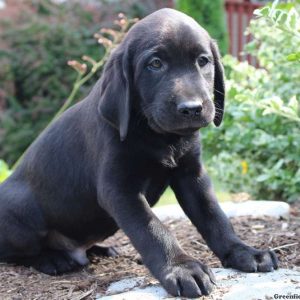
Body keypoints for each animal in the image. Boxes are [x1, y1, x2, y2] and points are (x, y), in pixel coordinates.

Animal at [0, 8, 278, 298]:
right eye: (155, 64)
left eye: (203, 61)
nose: (191, 108)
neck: (159, 136)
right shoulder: (119, 190)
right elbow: (152, 229)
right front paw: (182, 268)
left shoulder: (192, 177)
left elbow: (215, 217)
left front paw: (244, 252)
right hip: (21, 207)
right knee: (12, 253)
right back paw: (52, 259)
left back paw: (101, 249)